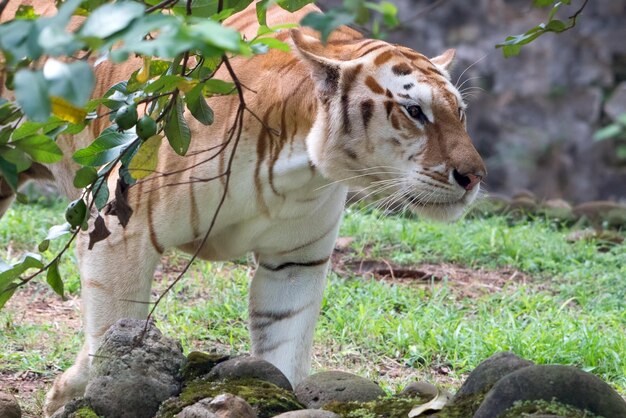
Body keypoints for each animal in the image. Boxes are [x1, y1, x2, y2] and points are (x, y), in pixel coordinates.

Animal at [0, 0, 486, 414]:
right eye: (414, 111)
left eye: (460, 113)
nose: (475, 176)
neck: (296, 169)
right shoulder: (120, 233)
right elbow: (115, 324)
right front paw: (81, 395)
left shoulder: (296, 262)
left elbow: (286, 342)